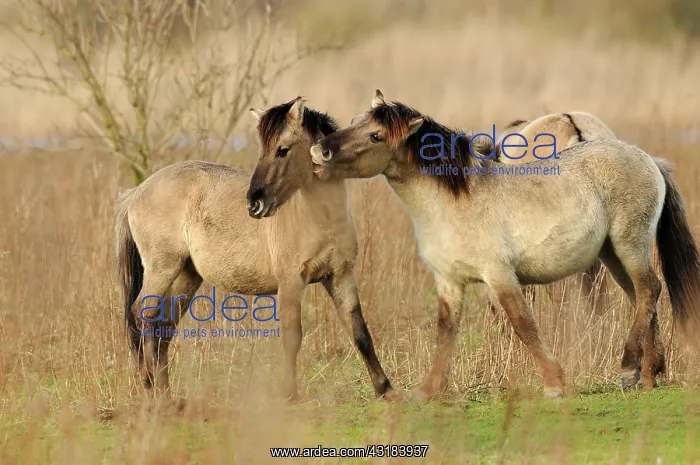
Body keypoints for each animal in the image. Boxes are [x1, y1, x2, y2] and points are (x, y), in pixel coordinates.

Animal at [116, 97, 395, 402]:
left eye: (283, 150)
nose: (255, 204)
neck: (320, 218)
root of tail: (135, 193)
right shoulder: (291, 282)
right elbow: (292, 337)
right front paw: (289, 394)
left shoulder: (341, 276)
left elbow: (360, 332)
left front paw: (386, 389)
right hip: (163, 269)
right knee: (143, 315)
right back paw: (150, 388)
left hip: (186, 276)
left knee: (163, 327)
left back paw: (166, 395)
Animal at [310, 89, 700, 399]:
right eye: (353, 121)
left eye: (376, 135)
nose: (319, 151)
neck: (455, 201)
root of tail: (650, 160)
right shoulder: (450, 282)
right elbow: (445, 333)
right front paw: (427, 391)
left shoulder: (499, 277)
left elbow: (523, 325)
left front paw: (554, 383)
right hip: (612, 255)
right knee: (642, 297)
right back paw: (649, 374)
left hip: (628, 245)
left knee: (649, 289)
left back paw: (629, 366)